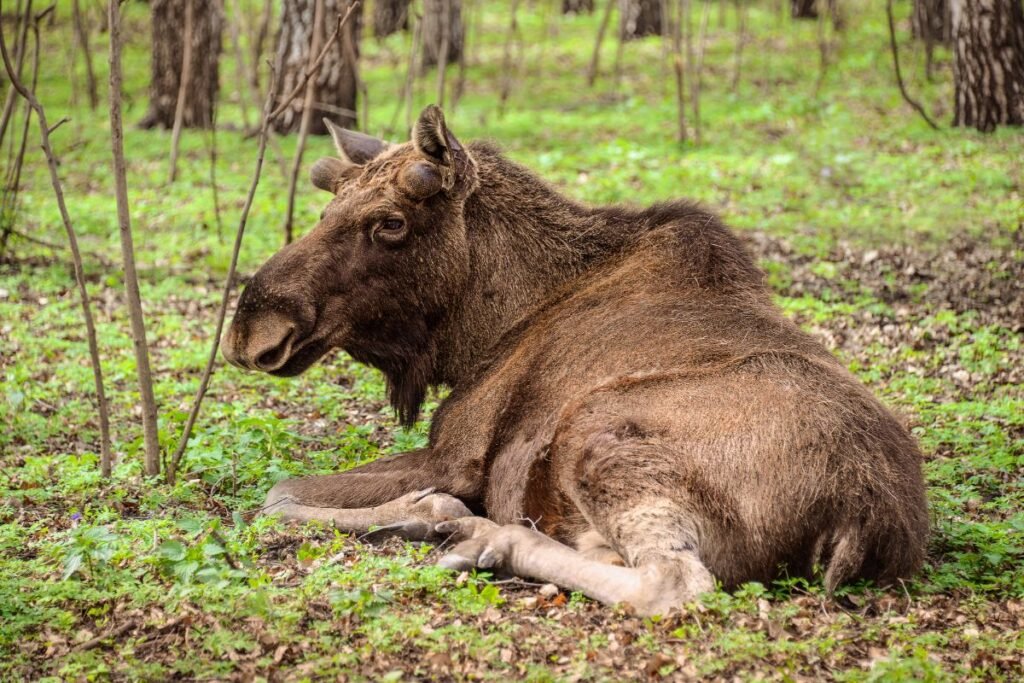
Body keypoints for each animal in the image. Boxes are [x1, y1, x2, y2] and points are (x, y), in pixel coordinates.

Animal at [224, 105, 929, 614]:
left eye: (390, 222)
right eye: (327, 208)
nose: (251, 328)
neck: (485, 328)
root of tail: (864, 516)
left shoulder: (456, 455)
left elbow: (277, 495)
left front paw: (436, 515)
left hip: (598, 430)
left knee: (673, 583)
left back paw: (490, 537)